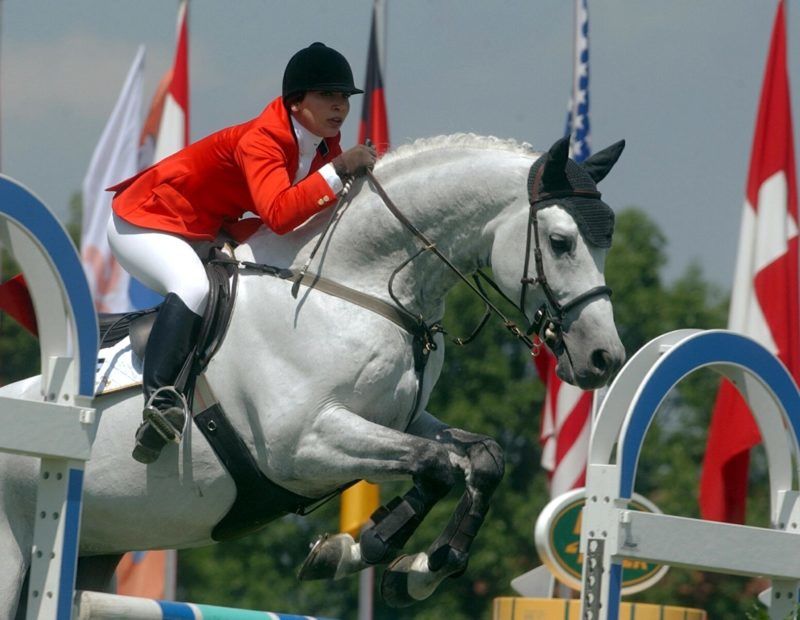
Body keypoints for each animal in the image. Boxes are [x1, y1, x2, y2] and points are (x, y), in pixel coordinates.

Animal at [0, 132, 624, 616]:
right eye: (561, 242)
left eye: (607, 242)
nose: (605, 359)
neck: (353, 285)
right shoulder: (301, 443)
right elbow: (438, 465)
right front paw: (361, 550)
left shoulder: (400, 419)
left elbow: (480, 459)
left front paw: (414, 570)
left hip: (92, 555)